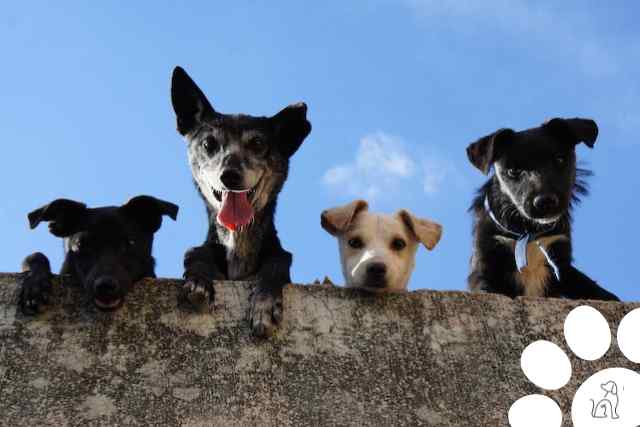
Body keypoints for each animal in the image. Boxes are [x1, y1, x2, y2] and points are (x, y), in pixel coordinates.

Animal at [169, 66, 312, 338]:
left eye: (257, 143)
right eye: (208, 143)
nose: (230, 176)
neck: (238, 243)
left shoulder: (278, 258)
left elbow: (276, 264)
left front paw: (264, 304)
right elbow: (196, 254)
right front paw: (199, 281)